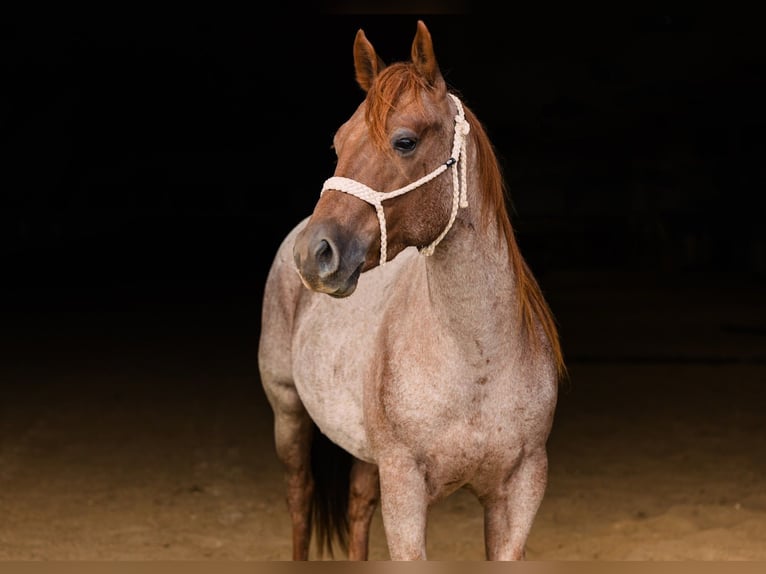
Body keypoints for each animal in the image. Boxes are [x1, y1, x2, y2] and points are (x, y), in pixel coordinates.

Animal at [258, 20, 565, 561]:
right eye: (338, 142)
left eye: (404, 141)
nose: (313, 254)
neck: (476, 361)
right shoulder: (404, 488)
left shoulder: (520, 492)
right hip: (288, 413)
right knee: (300, 499)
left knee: (358, 505)